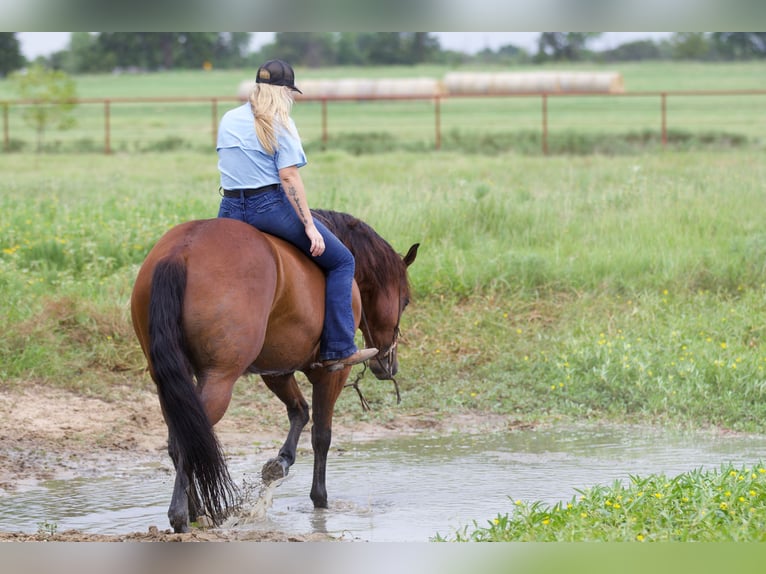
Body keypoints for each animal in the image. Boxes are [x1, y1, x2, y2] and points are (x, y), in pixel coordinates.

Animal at [132, 209, 420, 532]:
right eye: (405, 301)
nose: (388, 364)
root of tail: (182, 250)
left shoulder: (276, 370)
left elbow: (299, 411)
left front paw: (280, 464)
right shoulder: (331, 373)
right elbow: (322, 435)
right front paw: (320, 501)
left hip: (169, 381)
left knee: (181, 436)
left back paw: (196, 514)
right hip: (219, 378)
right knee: (191, 437)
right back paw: (182, 517)